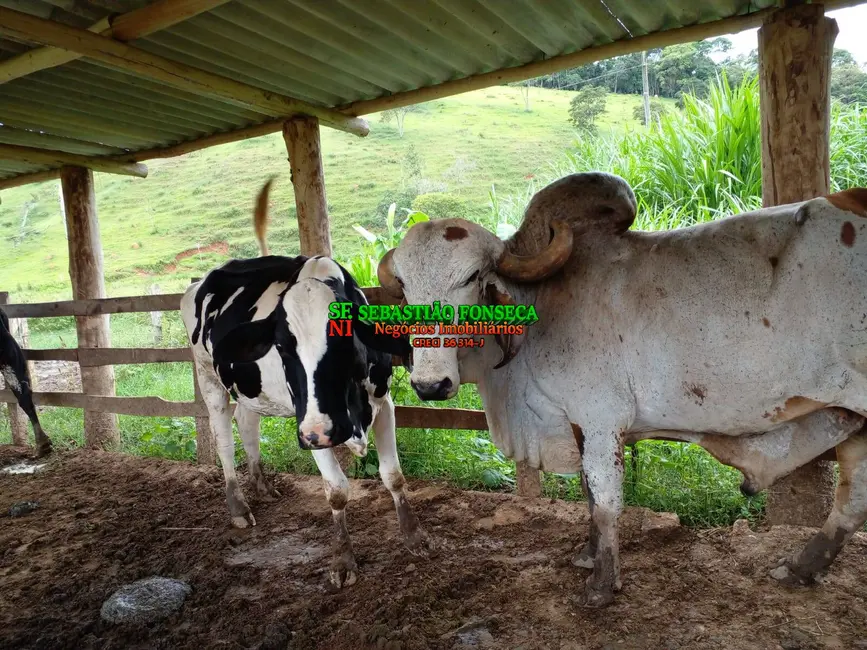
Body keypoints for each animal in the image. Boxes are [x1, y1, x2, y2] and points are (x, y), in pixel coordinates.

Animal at [181, 180, 430, 584]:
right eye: (282, 346)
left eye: (345, 336)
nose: (317, 431)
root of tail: (201, 280)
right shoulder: (311, 427)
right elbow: (337, 491)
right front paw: (343, 559)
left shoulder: (383, 403)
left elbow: (393, 476)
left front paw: (413, 536)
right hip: (208, 376)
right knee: (223, 439)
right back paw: (238, 506)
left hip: (251, 388)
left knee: (246, 422)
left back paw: (262, 485)